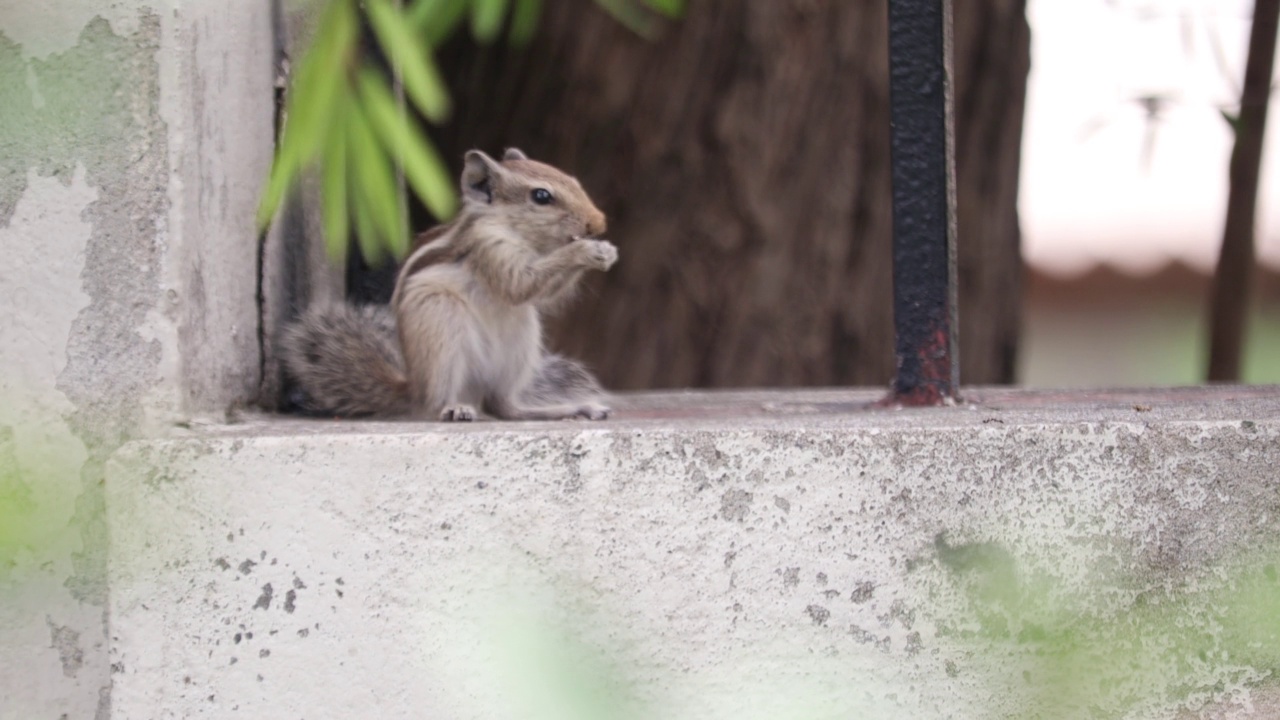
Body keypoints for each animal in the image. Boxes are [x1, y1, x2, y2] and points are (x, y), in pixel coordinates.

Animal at [281, 148, 619, 420]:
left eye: (574, 182)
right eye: (541, 196)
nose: (598, 223)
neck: (515, 231)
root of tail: (413, 389)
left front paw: (607, 251)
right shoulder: (488, 248)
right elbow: (520, 285)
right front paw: (585, 251)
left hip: (521, 343)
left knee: (503, 407)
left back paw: (569, 409)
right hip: (440, 326)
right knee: (439, 404)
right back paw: (453, 408)